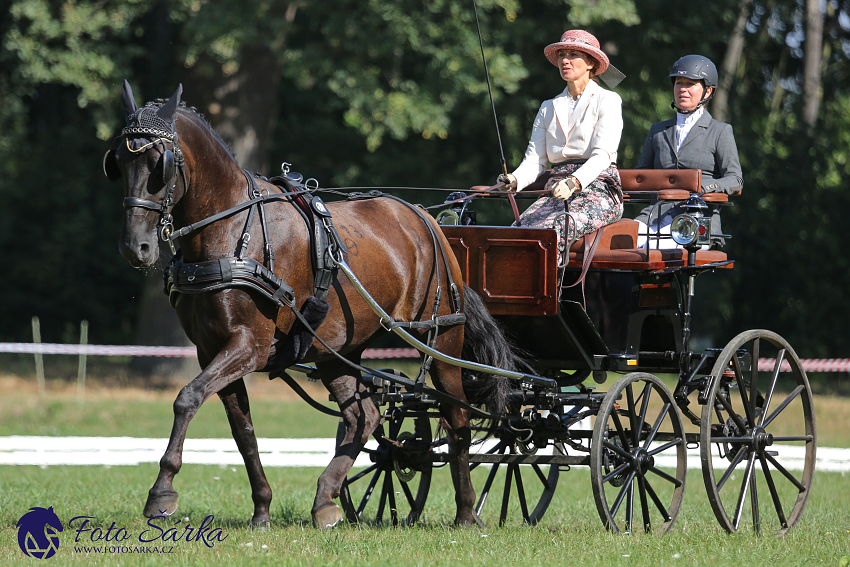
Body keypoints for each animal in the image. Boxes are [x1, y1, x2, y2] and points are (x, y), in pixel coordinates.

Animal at [106, 82, 516, 532]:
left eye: (158, 164)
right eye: (118, 161)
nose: (135, 247)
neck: (230, 231)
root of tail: (428, 220)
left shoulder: (248, 346)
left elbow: (187, 398)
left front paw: (161, 492)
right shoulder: (211, 350)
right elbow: (243, 431)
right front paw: (262, 508)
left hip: (441, 340)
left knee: (456, 420)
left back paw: (466, 512)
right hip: (337, 350)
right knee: (364, 417)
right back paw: (325, 500)